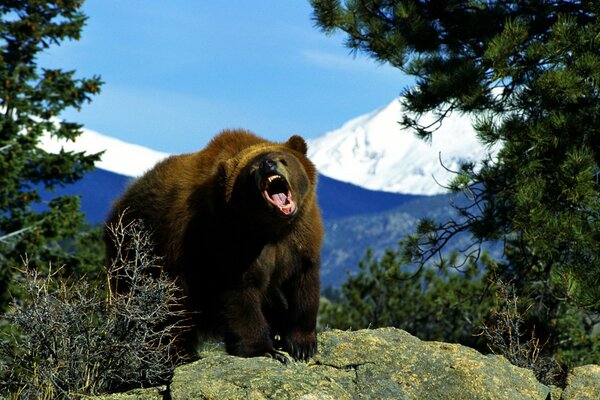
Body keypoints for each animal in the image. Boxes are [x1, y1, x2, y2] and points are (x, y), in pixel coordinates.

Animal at [106, 129, 324, 362]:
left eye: (283, 159)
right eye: (252, 171)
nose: (267, 164)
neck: (271, 228)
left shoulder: (300, 238)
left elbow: (303, 286)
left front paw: (302, 345)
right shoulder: (227, 241)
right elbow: (240, 294)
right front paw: (265, 349)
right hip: (144, 257)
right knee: (166, 315)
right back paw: (176, 355)